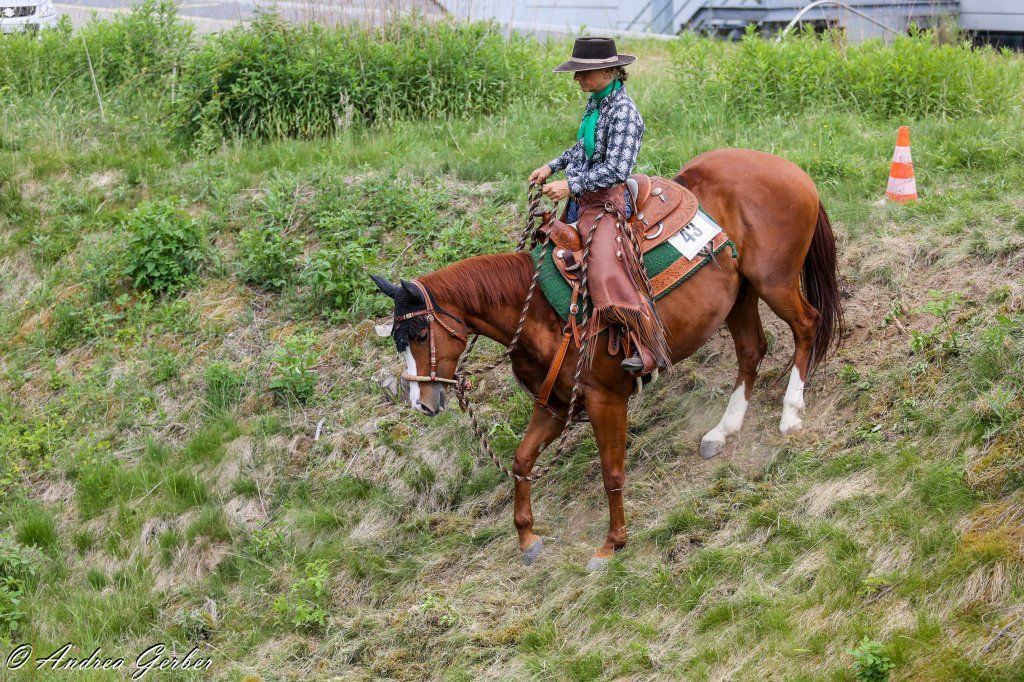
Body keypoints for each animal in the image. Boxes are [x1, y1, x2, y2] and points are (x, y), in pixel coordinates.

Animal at [370, 148, 843, 570]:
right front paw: (527, 538)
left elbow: (611, 472)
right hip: (740, 295)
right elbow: (522, 462)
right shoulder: (554, 405)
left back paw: (791, 412)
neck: (537, 308)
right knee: (751, 350)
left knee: (807, 326)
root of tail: (790, 169)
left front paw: (612, 544)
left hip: (773, 281)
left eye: (420, 333)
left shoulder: (606, 400)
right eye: (397, 340)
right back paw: (723, 431)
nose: (422, 404)